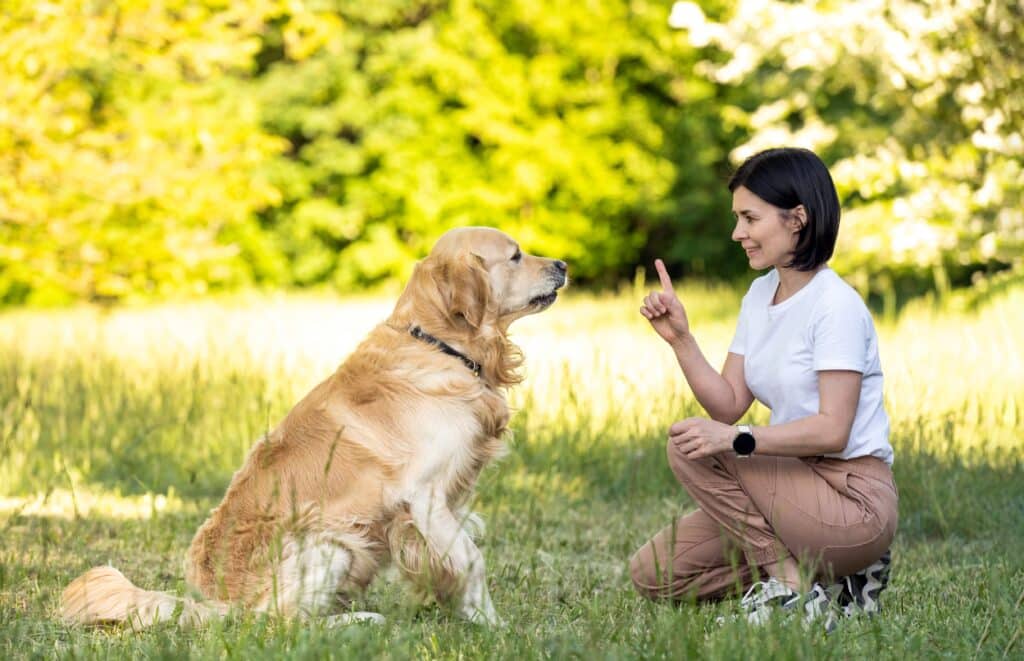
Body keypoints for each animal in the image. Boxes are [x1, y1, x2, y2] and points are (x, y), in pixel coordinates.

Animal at [61, 228, 569, 630]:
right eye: (516, 255)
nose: (563, 264)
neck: (441, 346)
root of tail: (223, 604)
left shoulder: (446, 503)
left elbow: (450, 560)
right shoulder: (424, 496)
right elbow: (473, 560)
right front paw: (493, 625)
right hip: (332, 541)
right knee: (281, 623)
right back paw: (360, 620)